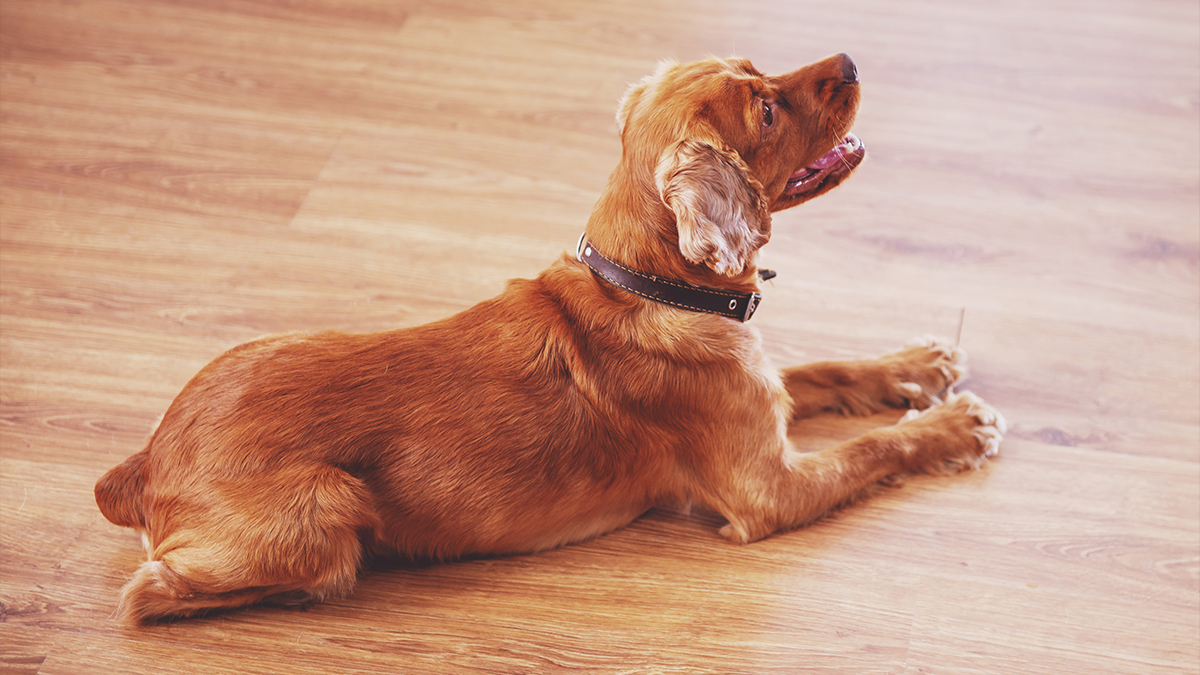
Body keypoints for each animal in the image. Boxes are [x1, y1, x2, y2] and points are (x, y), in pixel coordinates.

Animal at [98, 52, 1008, 619]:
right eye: (767, 106)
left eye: (760, 72)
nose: (851, 60)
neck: (648, 282)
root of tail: (143, 464)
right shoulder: (765, 490)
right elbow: (874, 448)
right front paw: (954, 425)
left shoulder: (768, 395)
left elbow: (826, 368)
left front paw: (914, 364)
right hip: (330, 504)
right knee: (150, 595)